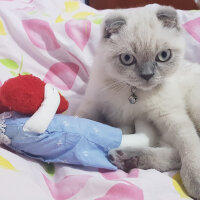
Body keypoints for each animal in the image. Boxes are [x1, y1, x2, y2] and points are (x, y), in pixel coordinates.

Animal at [75, 5, 200, 199]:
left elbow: (190, 146)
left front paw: (194, 180)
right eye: (127, 59)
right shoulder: (93, 104)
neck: (132, 94)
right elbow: (80, 119)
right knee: (173, 154)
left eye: (163, 56)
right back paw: (127, 158)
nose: (147, 75)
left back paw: (127, 158)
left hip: (194, 108)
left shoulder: (171, 116)